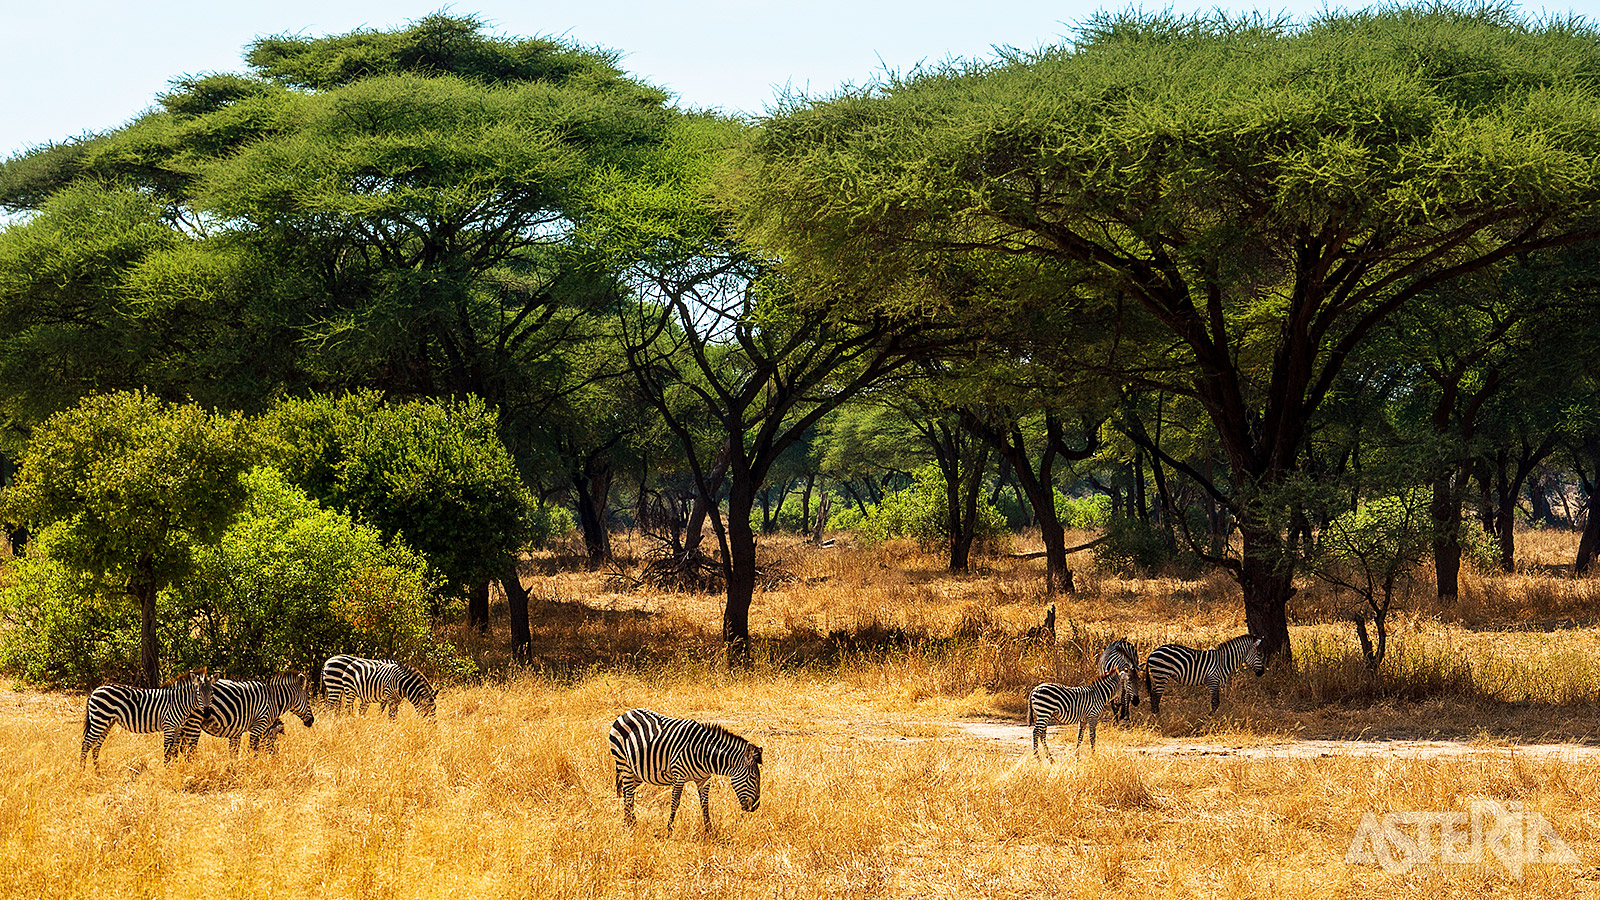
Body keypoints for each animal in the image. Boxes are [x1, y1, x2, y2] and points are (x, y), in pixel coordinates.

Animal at [80, 666, 216, 762]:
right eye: (198, 693)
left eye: (212, 693)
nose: (207, 713)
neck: (179, 702)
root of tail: (96, 690)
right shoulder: (168, 726)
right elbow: (167, 750)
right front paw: (167, 771)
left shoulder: (178, 728)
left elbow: (173, 750)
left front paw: (174, 769)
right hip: (100, 720)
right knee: (86, 743)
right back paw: (82, 772)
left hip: (107, 722)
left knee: (96, 746)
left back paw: (98, 774)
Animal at [179, 669, 315, 752]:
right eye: (308, 698)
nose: (312, 721)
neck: (274, 700)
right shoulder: (259, 726)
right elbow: (253, 749)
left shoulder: (236, 730)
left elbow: (233, 752)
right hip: (194, 722)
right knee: (189, 749)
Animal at [608, 707, 764, 832]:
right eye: (753, 777)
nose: (756, 806)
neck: (704, 754)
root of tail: (627, 712)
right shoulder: (679, 776)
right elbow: (675, 803)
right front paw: (669, 830)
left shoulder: (704, 779)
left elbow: (705, 804)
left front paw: (710, 830)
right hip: (624, 765)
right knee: (628, 794)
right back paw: (630, 824)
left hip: (638, 772)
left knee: (628, 792)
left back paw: (630, 821)